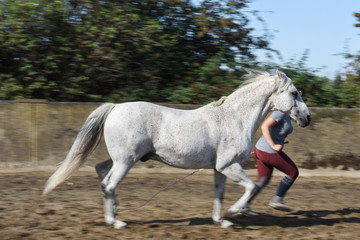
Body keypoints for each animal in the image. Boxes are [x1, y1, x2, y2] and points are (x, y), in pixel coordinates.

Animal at [43, 70, 310, 229]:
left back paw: (114, 214)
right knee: (109, 183)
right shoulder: (229, 165)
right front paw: (235, 212)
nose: (307, 118)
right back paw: (116, 222)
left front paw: (221, 221)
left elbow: (219, 194)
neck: (233, 118)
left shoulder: (219, 169)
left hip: (121, 159)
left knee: (101, 172)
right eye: (294, 93)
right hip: (126, 161)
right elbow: (251, 186)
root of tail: (115, 107)